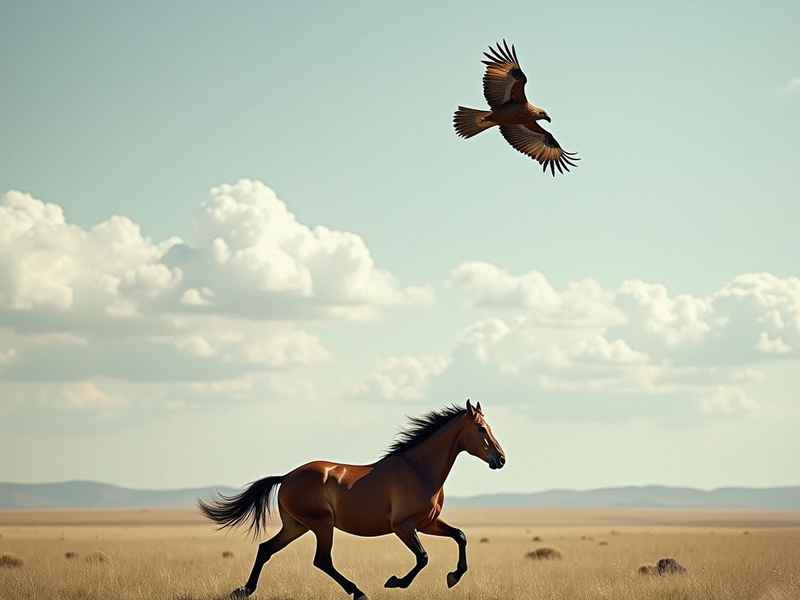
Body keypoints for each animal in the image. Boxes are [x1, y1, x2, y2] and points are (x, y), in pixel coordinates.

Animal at [199, 400, 506, 600]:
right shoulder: (403, 526)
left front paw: (453, 577)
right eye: (481, 429)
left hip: (297, 526)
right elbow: (422, 557)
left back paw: (243, 590)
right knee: (322, 560)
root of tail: (286, 477)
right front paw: (395, 582)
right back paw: (358, 592)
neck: (418, 469)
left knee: (266, 549)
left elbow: (460, 536)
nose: (501, 459)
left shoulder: (427, 523)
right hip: (321, 525)